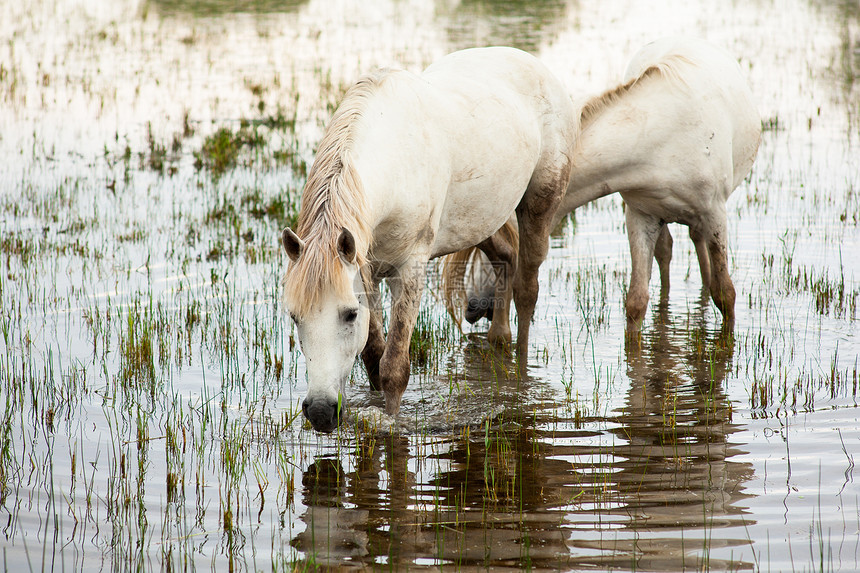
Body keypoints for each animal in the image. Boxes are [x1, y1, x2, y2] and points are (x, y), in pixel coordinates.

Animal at [282, 49, 576, 432]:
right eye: (294, 316)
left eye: (348, 315)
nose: (320, 411)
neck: (394, 162)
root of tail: (533, 63)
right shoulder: (367, 270)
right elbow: (373, 355)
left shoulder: (410, 269)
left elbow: (394, 367)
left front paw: (393, 422)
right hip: (479, 221)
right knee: (505, 259)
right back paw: (499, 339)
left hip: (540, 206)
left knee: (527, 290)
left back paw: (521, 375)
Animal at [446, 36, 764, 330]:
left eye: (507, 242)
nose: (472, 308)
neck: (663, 138)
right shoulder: (641, 216)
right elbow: (636, 301)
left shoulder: (714, 214)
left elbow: (725, 293)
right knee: (667, 250)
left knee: (699, 246)